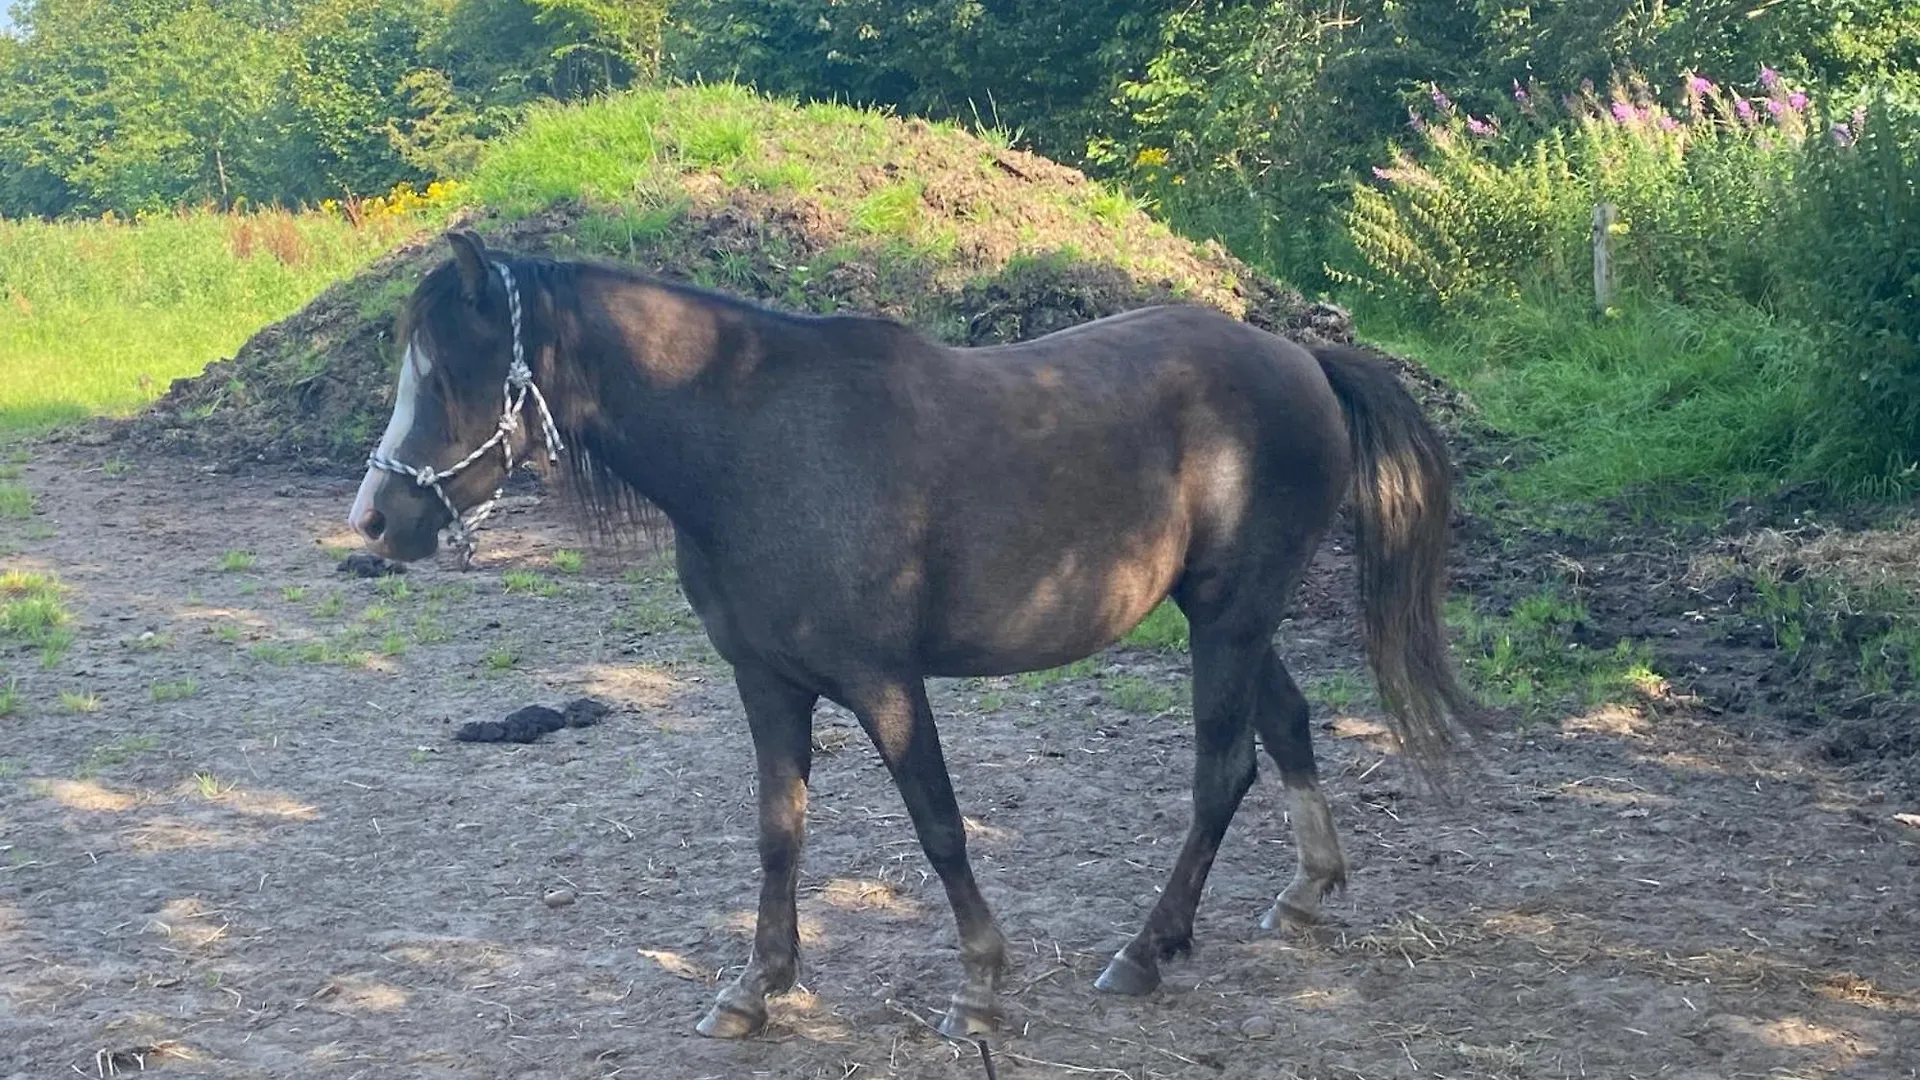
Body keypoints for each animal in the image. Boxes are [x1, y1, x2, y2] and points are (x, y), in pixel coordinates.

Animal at [349, 231, 1482, 1037]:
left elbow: (938, 823)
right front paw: (756, 988)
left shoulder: (885, 681)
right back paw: (1302, 896)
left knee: (1222, 769)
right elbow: (778, 833)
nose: (375, 520)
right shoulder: (768, 684)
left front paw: (980, 986)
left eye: (445, 375)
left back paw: (1146, 951)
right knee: (1284, 728)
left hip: (1233, 613)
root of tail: (1302, 356)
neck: (756, 443)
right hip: (1222, 614)